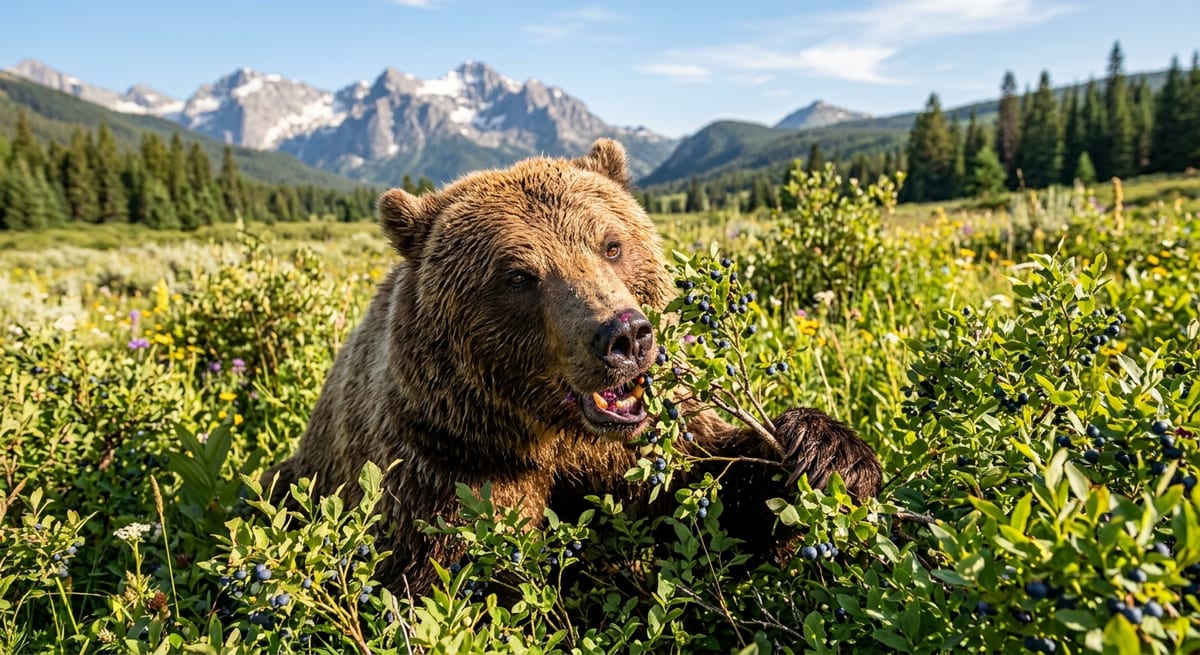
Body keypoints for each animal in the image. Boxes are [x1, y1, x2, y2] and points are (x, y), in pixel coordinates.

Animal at [263, 139, 882, 598]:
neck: (560, 437)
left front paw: (827, 454)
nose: (624, 336)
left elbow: (714, 492)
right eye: (518, 275)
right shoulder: (448, 461)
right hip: (296, 481)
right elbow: (458, 575)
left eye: (611, 245)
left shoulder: (648, 446)